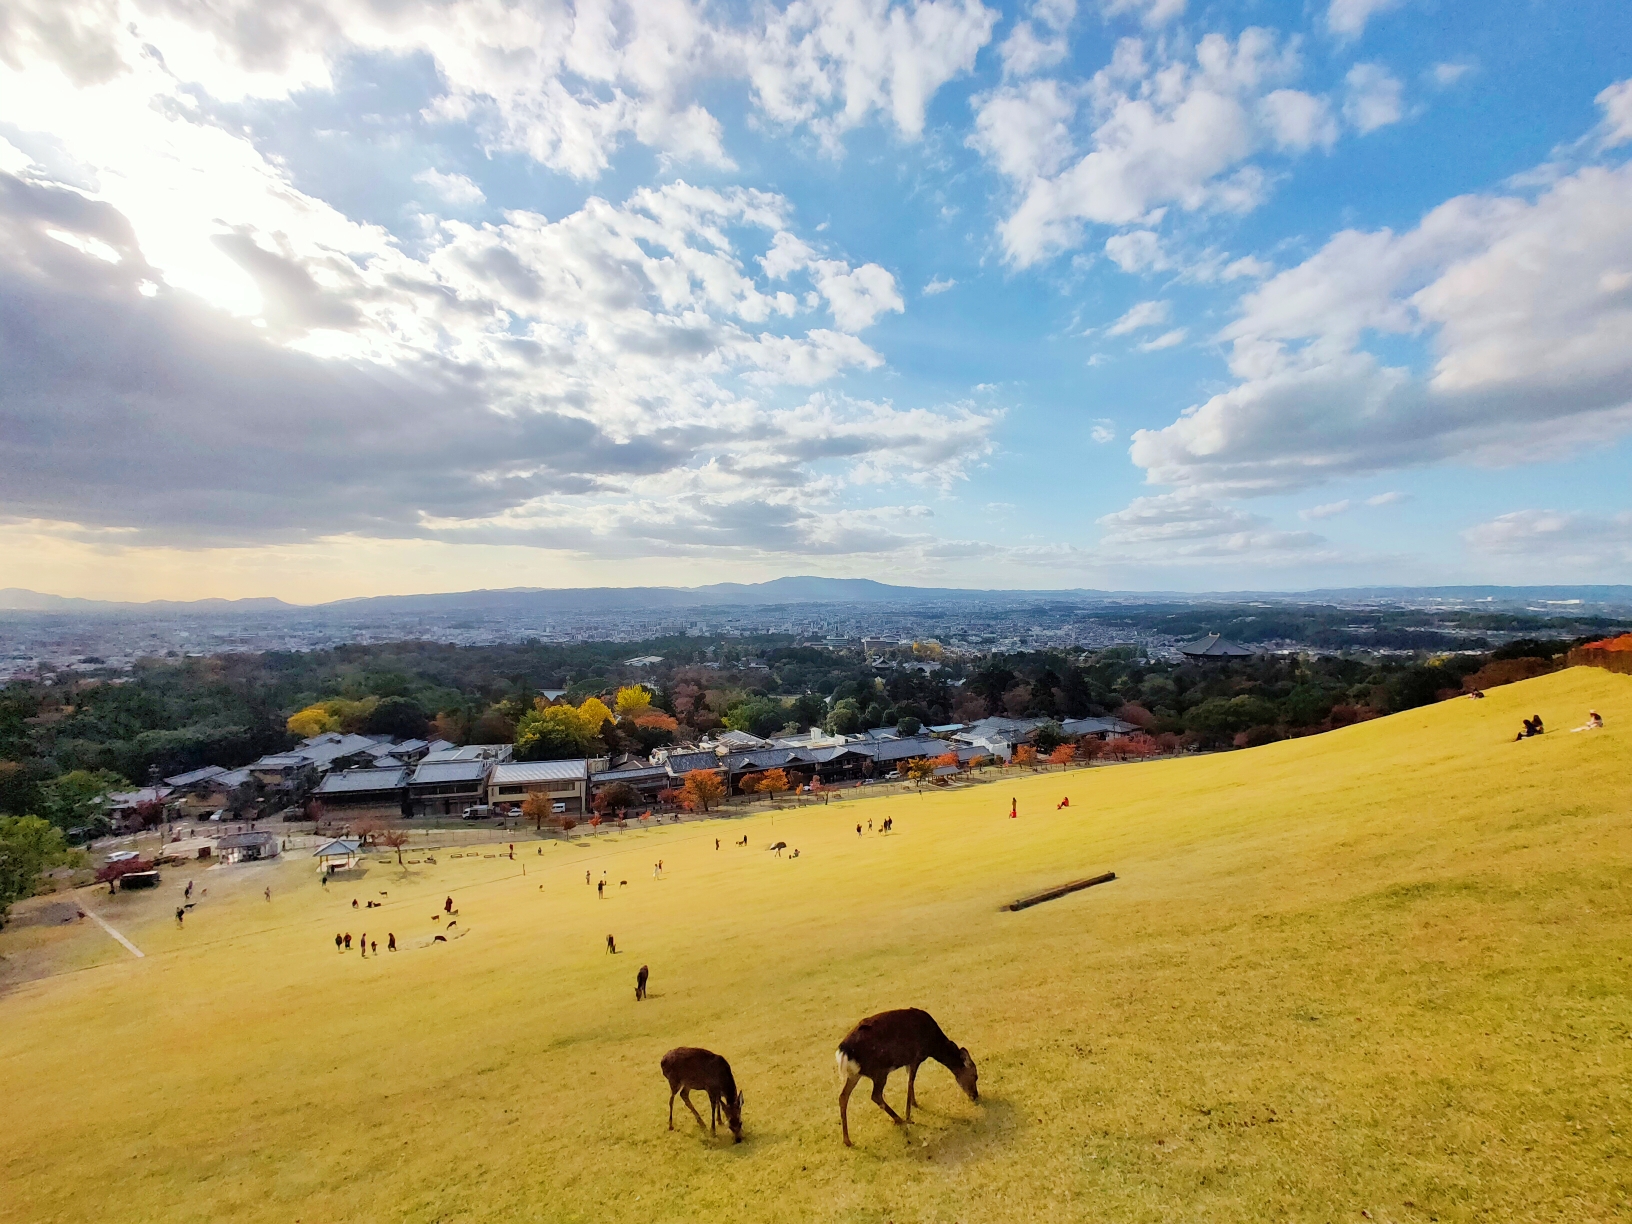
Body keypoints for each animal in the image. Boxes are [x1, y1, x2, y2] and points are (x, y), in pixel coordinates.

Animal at [835, 1005, 972, 1148]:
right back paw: (899, 1120)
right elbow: (911, 1081)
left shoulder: (909, 1062)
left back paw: (847, 1140)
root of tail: (843, 1052)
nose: (975, 1095)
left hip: (855, 1074)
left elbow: (910, 1082)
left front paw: (914, 1103)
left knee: (843, 1096)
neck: (934, 1045)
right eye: (975, 1075)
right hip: (879, 1071)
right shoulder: (917, 1057)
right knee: (875, 1096)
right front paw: (909, 1115)